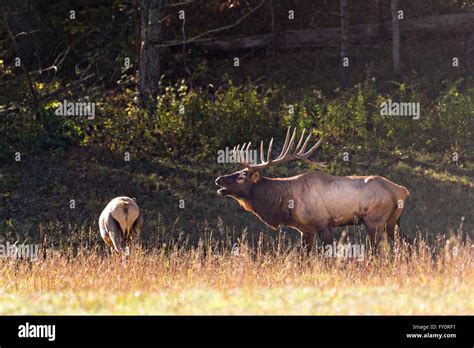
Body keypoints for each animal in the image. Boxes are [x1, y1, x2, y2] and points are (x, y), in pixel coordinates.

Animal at [215, 129, 412, 251]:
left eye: (241, 176)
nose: (219, 180)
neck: (287, 203)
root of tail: (402, 190)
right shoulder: (305, 229)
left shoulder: (323, 223)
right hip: (393, 222)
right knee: (407, 242)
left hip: (375, 220)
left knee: (376, 251)